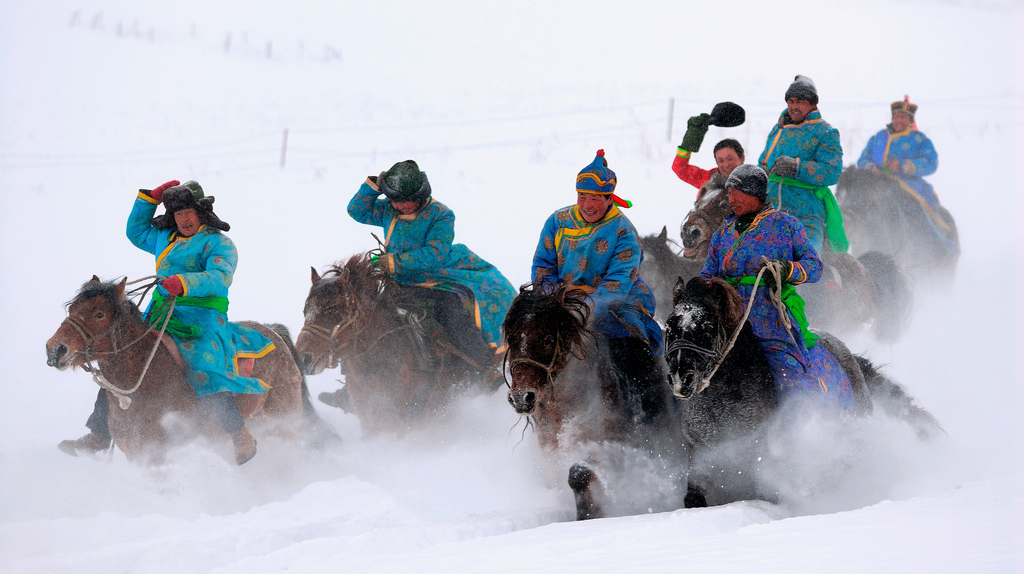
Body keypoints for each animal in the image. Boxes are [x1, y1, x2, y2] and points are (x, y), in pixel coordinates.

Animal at [499, 284, 684, 521]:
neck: (567, 402)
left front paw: (587, 515)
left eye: (548, 339)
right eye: (512, 340)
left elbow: (579, 473)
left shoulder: (607, 444)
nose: (522, 397)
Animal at [663, 276, 942, 505]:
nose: (680, 378)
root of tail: (849, 356)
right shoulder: (700, 451)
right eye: (669, 326)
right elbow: (694, 497)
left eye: (707, 326)